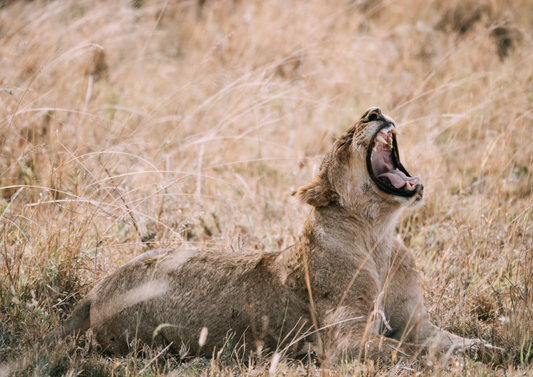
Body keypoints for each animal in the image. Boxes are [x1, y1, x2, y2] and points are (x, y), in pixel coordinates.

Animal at [47, 107, 482, 362]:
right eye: (346, 139)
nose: (374, 110)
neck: (378, 237)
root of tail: (96, 289)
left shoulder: (415, 322)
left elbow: (447, 339)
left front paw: (480, 348)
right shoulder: (344, 341)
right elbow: (408, 351)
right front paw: (459, 364)